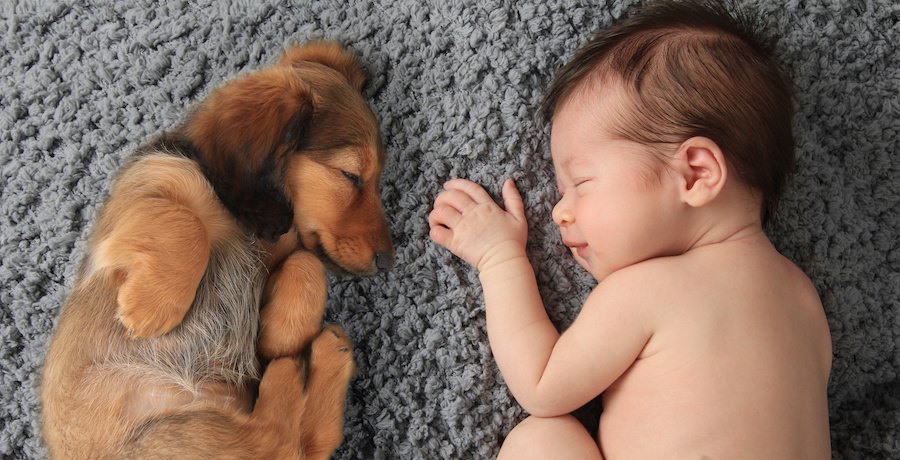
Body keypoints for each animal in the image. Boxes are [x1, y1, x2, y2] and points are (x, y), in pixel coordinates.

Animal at [41, 41, 394, 458]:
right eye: (350, 175)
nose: (388, 261)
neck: (240, 219)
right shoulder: (146, 189)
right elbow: (185, 222)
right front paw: (151, 308)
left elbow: (307, 262)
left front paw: (279, 334)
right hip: (173, 434)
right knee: (277, 441)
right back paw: (294, 371)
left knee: (295, 443)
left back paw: (319, 356)